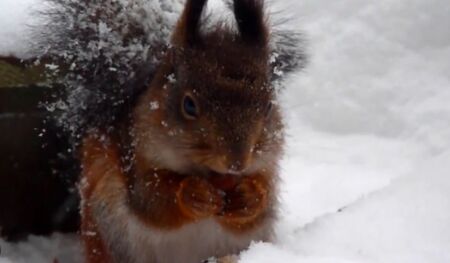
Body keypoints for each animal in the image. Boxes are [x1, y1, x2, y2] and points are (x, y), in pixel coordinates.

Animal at [33, 0, 304, 262]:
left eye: (269, 106)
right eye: (189, 105)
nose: (236, 163)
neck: (206, 172)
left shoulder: (267, 165)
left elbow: (261, 203)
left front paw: (247, 197)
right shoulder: (136, 157)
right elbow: (153, 201)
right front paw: (194, 194)